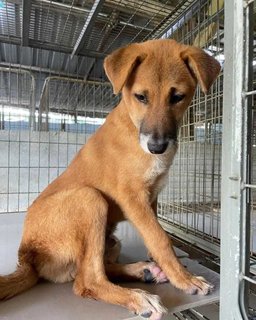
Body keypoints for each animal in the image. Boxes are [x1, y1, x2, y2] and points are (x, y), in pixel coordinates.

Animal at [0, 38, 220, 318]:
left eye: (177, 97)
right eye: (141, 97)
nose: (157, 147)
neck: (133, 126)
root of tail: (27, 259)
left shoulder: (152, 199)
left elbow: (156, 234)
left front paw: (167, 268)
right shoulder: (133, 198)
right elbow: (160, 238)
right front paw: (184, 278)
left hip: (110, 238)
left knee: (89, 269)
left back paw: (144, 271)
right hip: (89, 198)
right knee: (87, 280)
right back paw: (138, 297)